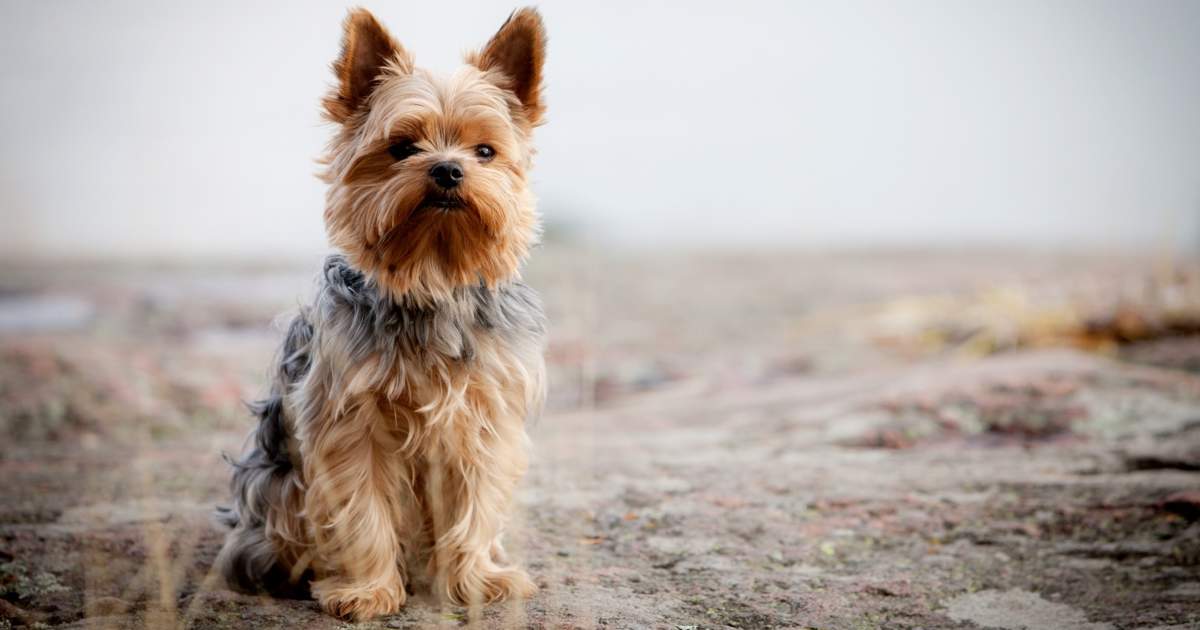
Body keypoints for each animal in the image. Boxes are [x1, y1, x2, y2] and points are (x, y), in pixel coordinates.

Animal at [217, 7, 549, 619]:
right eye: (402, 147)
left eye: (485, 152)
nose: (447, 170)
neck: (432, 277)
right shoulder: (350, 423)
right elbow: (361, 507)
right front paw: (367, 591)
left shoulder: (482, 418)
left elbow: (476, 502)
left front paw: (476, 580)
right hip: (276, 486)